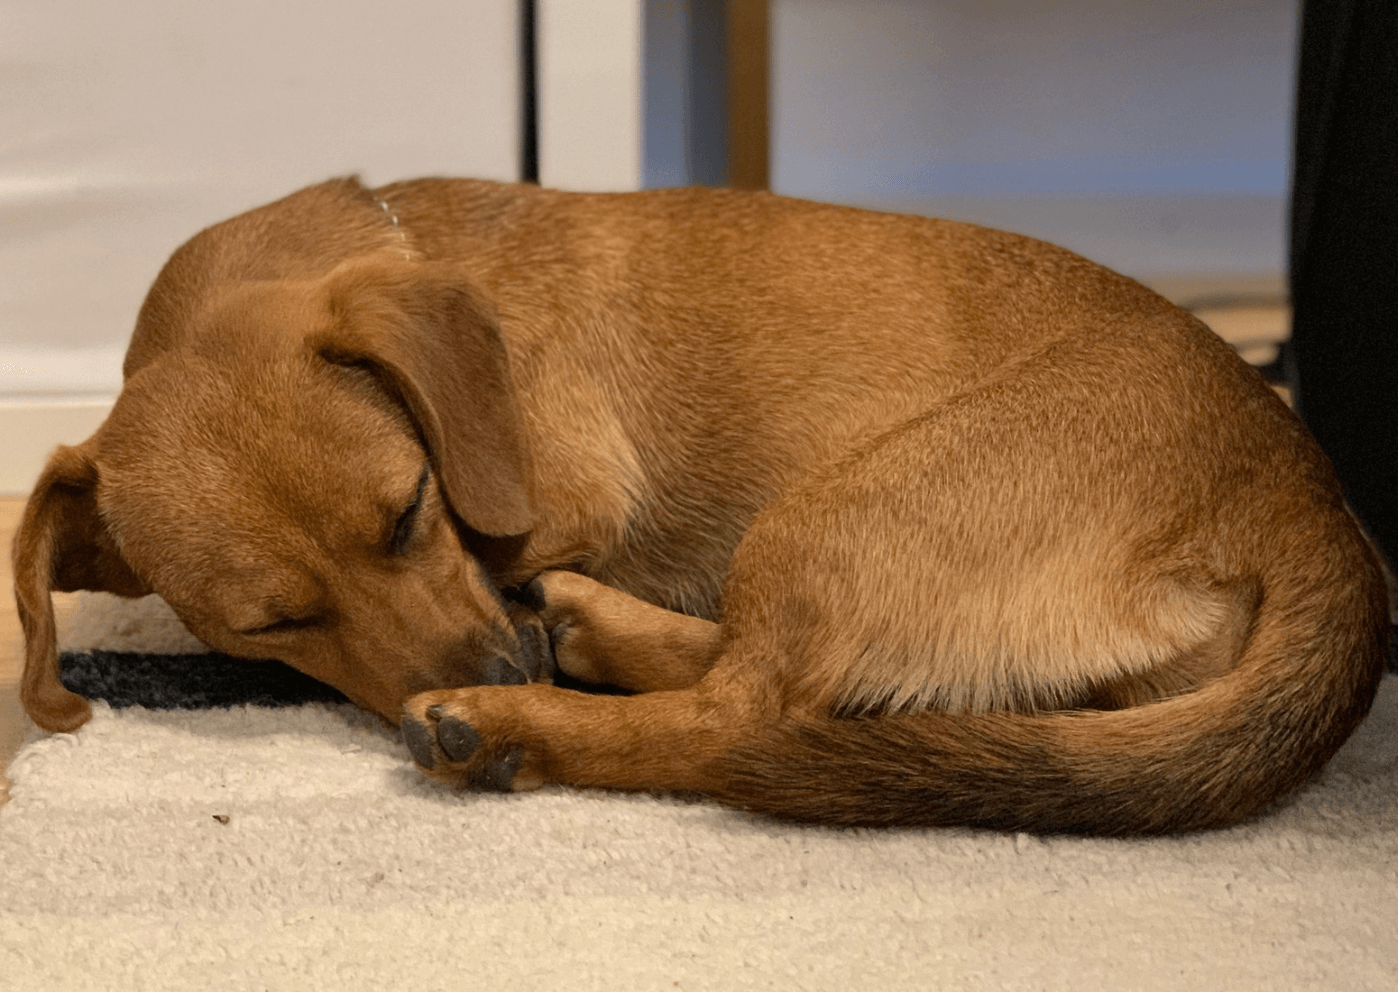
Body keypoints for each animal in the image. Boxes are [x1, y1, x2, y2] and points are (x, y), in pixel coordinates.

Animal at [13, 177, 1390, 834]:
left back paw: (518, 717)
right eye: (270, 629)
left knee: (742, 722)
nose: (497, 660)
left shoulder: (560, 489)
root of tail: (1313, 504)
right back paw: (584, 638)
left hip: (832, 513)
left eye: (409, 512)